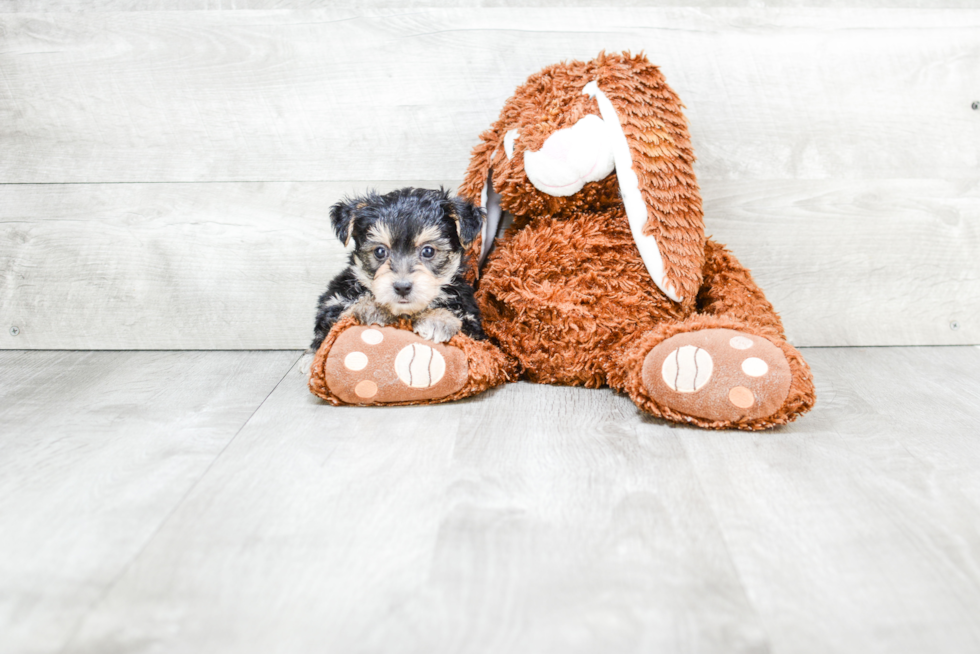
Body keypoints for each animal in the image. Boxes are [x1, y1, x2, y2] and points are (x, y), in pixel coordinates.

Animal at [310, 187, 486, 354]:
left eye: (428, 251)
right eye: (380, 251)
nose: (402, 287)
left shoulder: (473, 325)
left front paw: (438, 320)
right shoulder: (333, 303)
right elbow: (343, 309)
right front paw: (373, 307)